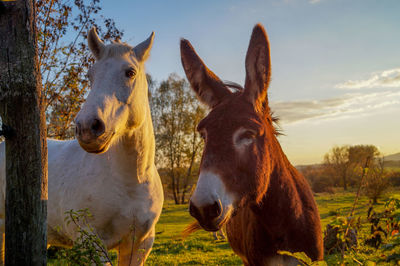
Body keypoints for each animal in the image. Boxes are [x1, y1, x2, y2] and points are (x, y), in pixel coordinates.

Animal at [0, 28, 164, 264]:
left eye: (130, 72)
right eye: (90, 75)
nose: (87, 127)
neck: (131, 180)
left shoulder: (140, 244)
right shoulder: (89, 241)